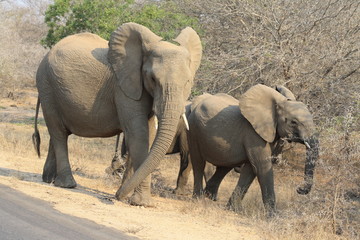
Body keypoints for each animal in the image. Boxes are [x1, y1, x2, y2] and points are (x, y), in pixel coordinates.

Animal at [32, 23, 202, 206]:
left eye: (188, 82)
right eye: (153, 79)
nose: (116, 196)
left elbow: (148, 134)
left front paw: (128, 196)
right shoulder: (124, 89)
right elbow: (138, 133)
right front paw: (141, 202)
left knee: (58, 133)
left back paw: (49, 179)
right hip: (47, 86)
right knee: (58, 132)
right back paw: (67, 184)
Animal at [188, 84, 318, 216]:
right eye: (293, 122)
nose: (299, 189)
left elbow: (251, 170)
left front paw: (234, 209)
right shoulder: (253, 133)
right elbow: (262, 167)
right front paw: (273, 216)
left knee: (224, 166)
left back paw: (209, 195)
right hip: (193, 129)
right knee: (198, 162)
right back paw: (198, 198)